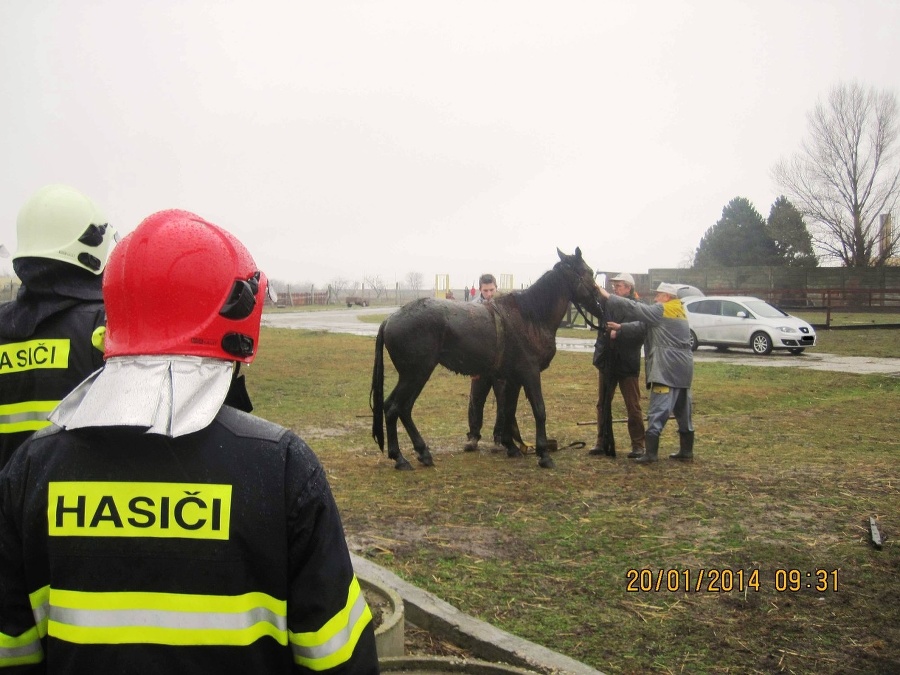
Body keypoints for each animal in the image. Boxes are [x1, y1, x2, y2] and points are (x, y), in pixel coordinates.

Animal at [372, 248, 604, 470]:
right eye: (589, 271)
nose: (601, 304)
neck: (530, 316)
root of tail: (390, 320)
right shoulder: (530, 373)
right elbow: (539, 410)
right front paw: (543, 455)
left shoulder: (513, 378)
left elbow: (508, 411)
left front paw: (511, 447)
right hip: (415, 374)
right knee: (394, 408)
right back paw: (400, 458)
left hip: (416, 375)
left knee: (403, 408)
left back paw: (422, 453)